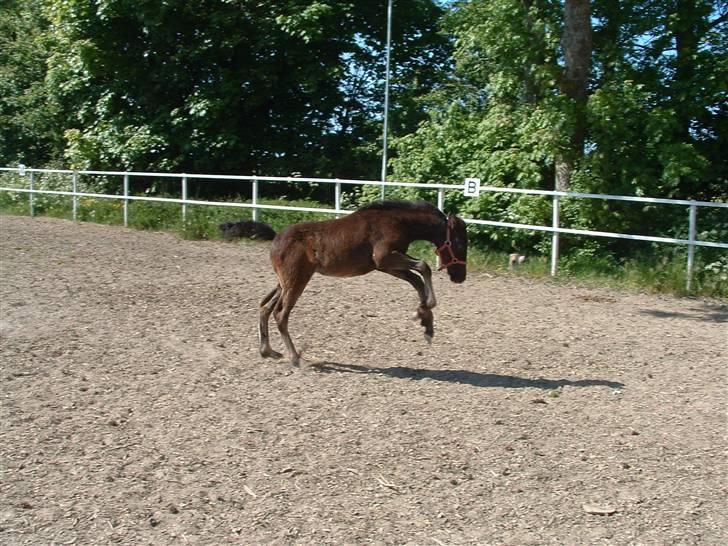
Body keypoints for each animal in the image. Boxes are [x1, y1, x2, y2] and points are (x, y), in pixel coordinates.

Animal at [247, 200, 470, 366]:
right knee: (280, 314)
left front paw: (425, 321)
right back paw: (295, 358)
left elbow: (416, 280)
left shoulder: (385, 265)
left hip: (285, 283)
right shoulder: (385, 258)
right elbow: (424, 267)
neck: (398, 221)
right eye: (460, 244)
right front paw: (428, 309)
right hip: (296, 281)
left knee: (265, 307)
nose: (460, 277)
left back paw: (268, 351)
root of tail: (276, 240)